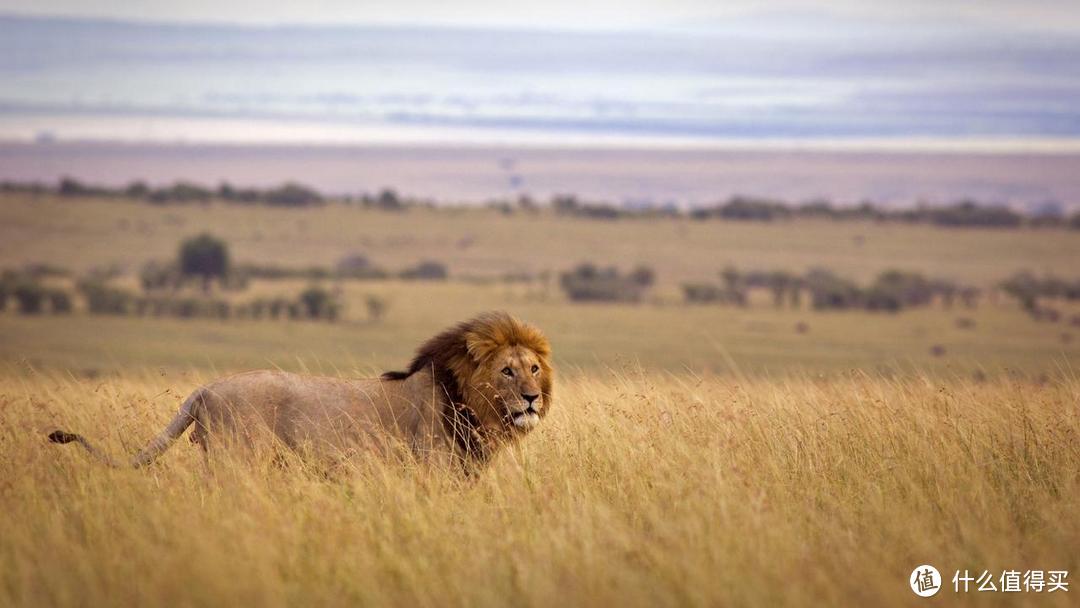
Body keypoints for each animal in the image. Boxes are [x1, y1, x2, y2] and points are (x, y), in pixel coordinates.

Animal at [48, 311, 557, 473]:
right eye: (507, 372)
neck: (467, 402)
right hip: (238, 463)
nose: (532, 397)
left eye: (534, 368)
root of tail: (204, 389)